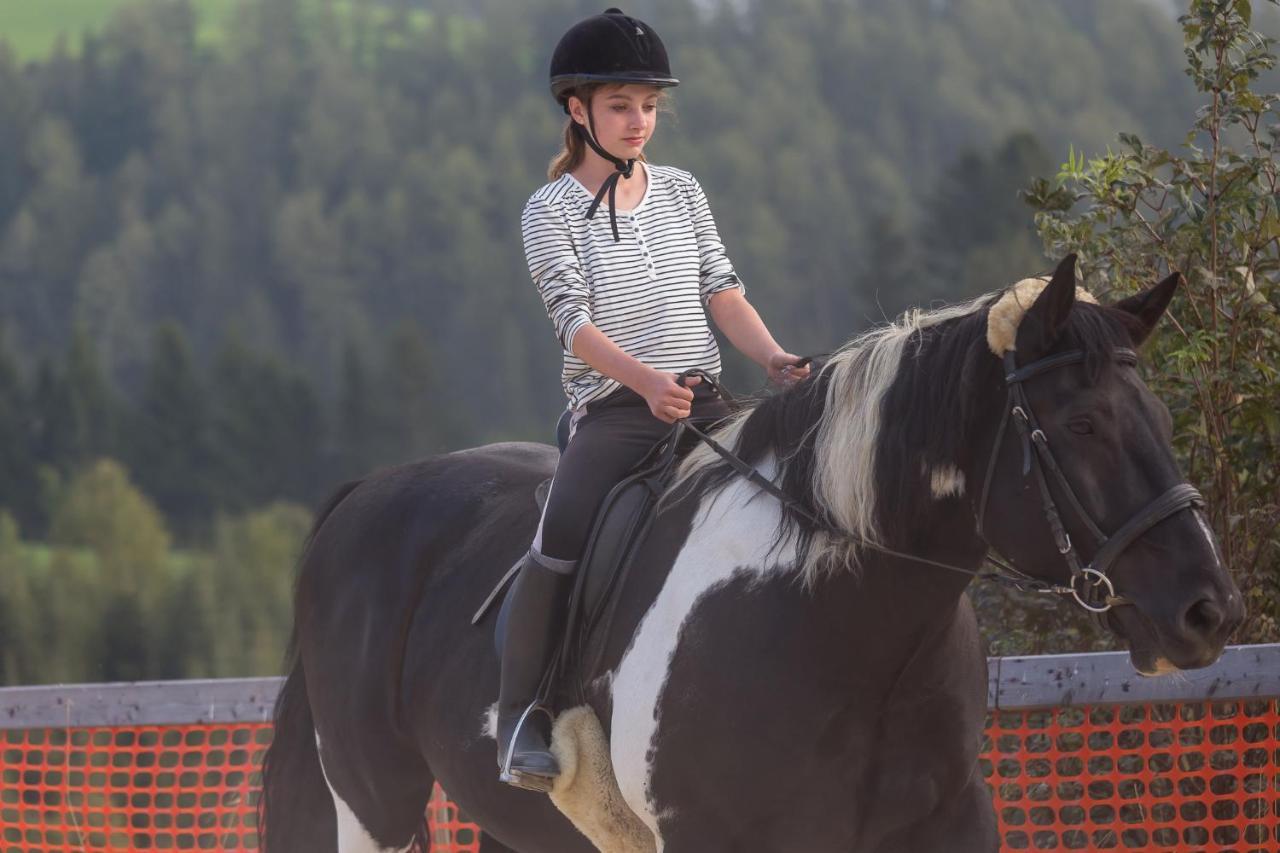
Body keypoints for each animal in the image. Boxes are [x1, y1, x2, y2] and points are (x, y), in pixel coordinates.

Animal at [259, 256, 1239, 850]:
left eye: (1157, 416)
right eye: (1082, 425)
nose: (1208, 609)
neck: (840, 624)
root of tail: (364, 497)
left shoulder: (946, 825)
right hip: (376, 806)